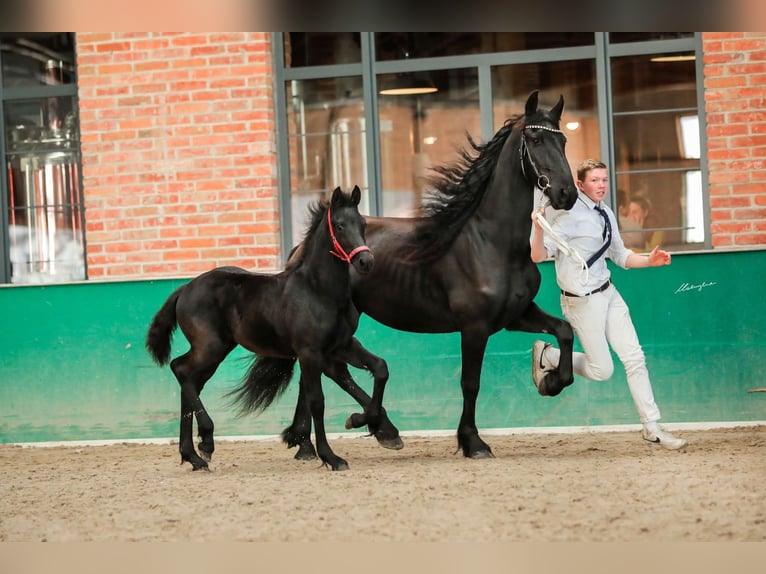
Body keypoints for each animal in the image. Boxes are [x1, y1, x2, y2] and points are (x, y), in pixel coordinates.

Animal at [145, 185, 394, 471]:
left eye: (363, 224)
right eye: (340, 225)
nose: (366, 261)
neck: (319, 290)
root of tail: (185, 288)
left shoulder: (341, 345)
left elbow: (380, 368)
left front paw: (361, 420)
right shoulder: (310, 352)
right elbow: (317, 401)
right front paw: (331, 457)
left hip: (217, 350)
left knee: (190, 381)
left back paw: (194, 455)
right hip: (210, 347)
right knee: (181, 370)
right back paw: (204, 442)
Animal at [287, 90, 580, 460]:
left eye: (564, 140)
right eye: (537, 139)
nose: (567, 194)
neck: (490, 242)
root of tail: (301, 248)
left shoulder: (516, 315)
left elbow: (565, 331)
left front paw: (551, 381)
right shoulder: (475, 326)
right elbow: (470, 383)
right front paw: (473, 442)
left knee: (318, 371)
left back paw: (308, 444)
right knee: (325, 369)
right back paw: (369, 428)